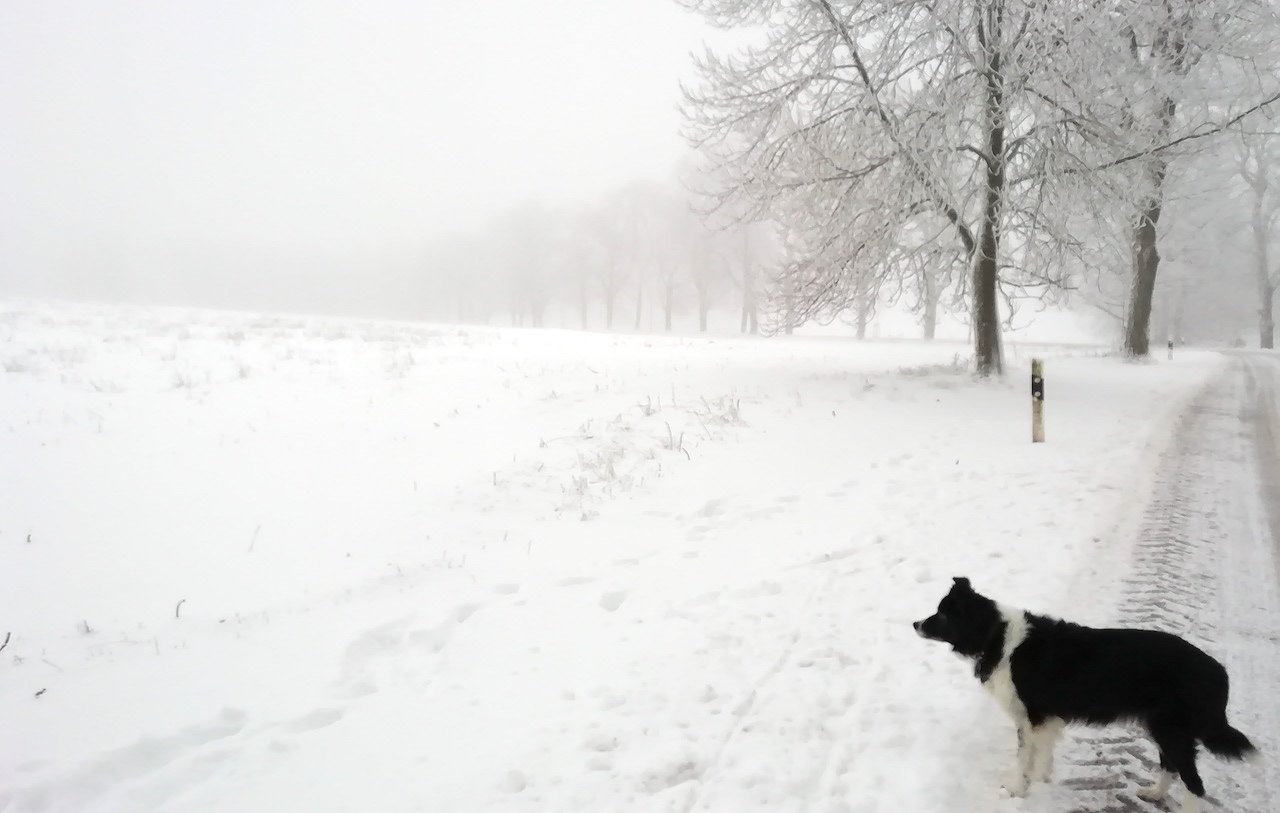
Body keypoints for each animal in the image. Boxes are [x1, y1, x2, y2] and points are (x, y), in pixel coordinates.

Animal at [913, 577, 1257, 813]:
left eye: (942, 615)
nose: (915, 623)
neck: (994, 635)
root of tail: (1218, 670)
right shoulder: (1041, 719)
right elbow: (1039, 754)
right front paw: (1040, 779)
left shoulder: (1032, 716)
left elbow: (1024, 758)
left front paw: (1017, 789)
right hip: (1164, 727)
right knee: (1172, 768)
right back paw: (1153, 794)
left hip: (1171, 729)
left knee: (1194, 783)